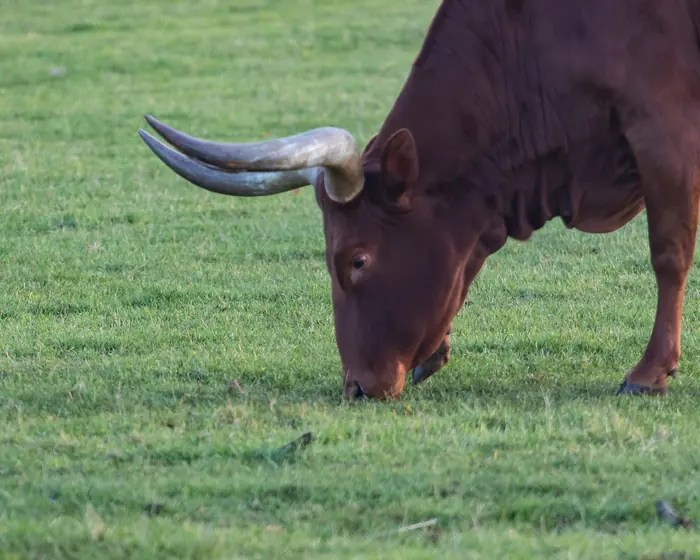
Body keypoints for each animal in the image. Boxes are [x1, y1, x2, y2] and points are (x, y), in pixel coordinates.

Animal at [138, 0, 700, 400]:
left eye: (357, 260)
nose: (357, 387)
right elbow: (462, 264)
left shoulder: (663, 132)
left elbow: (668, 253)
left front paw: (650, 371)